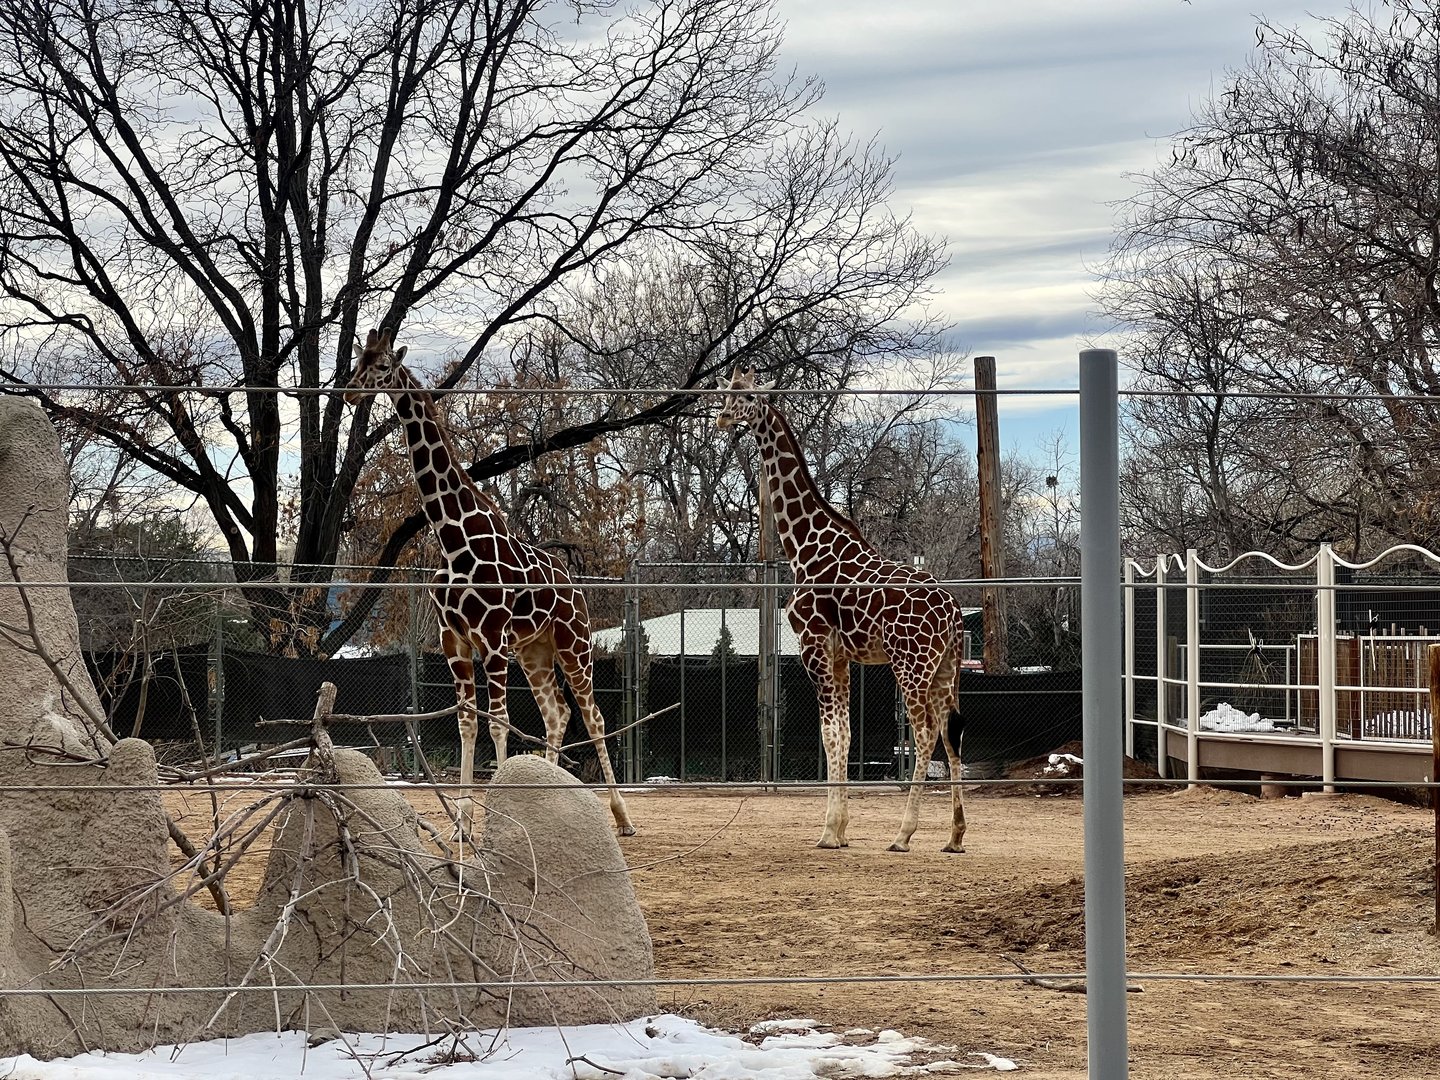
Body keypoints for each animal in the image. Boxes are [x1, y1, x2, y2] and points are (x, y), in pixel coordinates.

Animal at [346, 328, 635, 836]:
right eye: (360, 359)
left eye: (381, 367)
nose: (348, 392)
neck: (456, 541)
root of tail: (575, 585)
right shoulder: (455, 641)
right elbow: (468, 722)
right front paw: (462, 821)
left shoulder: (493, 640)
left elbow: (498, 721)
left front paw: (496, 818)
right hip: (535, 651)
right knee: (557, 712)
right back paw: (553, 795)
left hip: (573, 643)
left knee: (593, 715)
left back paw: (621, 816)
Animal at [716, 368, 966, 852]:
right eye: (725, 392)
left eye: (749, 397)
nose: (721, 418)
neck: (802, 545)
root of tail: (954, 614)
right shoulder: (841, 655)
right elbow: (845, 734)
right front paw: (842, 828)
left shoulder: (813, 643)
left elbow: (830, 733)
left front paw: (830, 831)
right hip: (945, 668)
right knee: (951, 733)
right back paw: (956, 835)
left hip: (911, 665)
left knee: (925, 732)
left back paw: (903, 834)